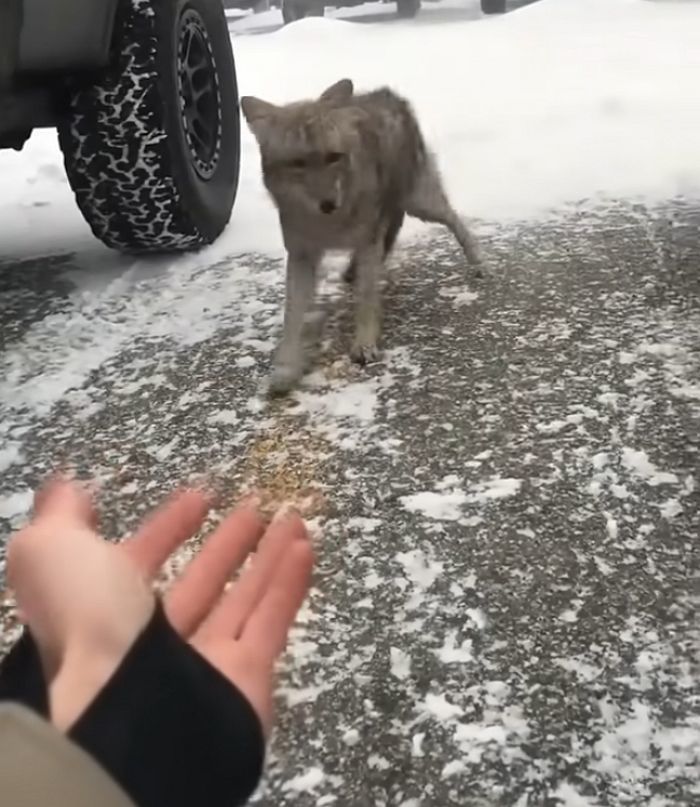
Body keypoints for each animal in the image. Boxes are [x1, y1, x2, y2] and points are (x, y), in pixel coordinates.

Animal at [241, 78, 483, 394]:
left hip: (420, 203)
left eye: (333, 157)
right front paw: (285, 368)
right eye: (298, 163)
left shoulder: (367, 242)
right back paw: (352, 270)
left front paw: (364, 345)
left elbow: (366, 299)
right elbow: (292, 317)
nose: (329, 204)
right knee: (391, 231)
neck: (328, 224)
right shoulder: (302, 256)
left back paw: (478, 261)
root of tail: (387, 93)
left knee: (454, 218)